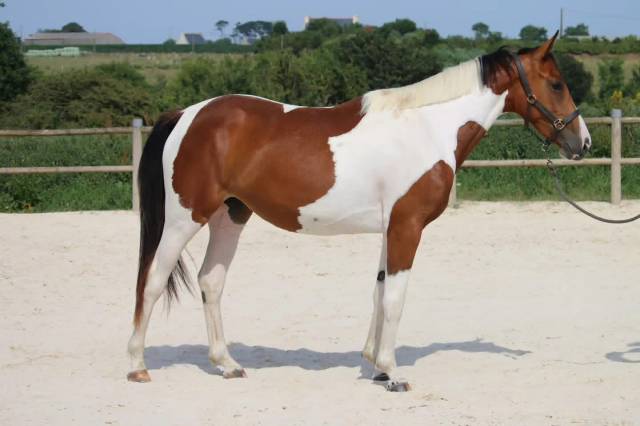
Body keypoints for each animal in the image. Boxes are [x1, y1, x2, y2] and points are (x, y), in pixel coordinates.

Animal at [127, 32, 591, 392]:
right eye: (555, 84)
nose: (582, 142)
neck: (428, 127)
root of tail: (186, 114)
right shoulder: (407, 227)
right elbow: (397, 297)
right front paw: (393, 372)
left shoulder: (391, 228)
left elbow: (380, 291)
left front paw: (375, 366)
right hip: (184, 219)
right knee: (152, 280)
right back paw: (137, 366)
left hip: (231, 216)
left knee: (211, 281)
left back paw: (227, 364)